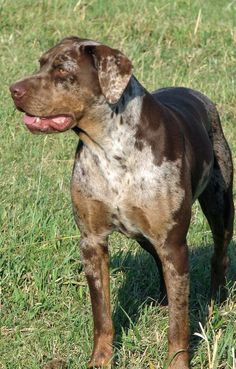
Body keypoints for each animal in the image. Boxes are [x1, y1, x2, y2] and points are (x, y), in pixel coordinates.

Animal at [9, 35, 234, 368]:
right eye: (41, 63)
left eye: (63, 70)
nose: (13, 89)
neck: (110, 147)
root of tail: (198, 95)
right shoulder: (92, 241)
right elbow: (102, 316)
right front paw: (100, 361)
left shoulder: (173, 243)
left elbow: (179, 323)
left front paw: (177, 362)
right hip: (143, 234)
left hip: (219, 204)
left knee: (220, 253)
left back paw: (216, 300)